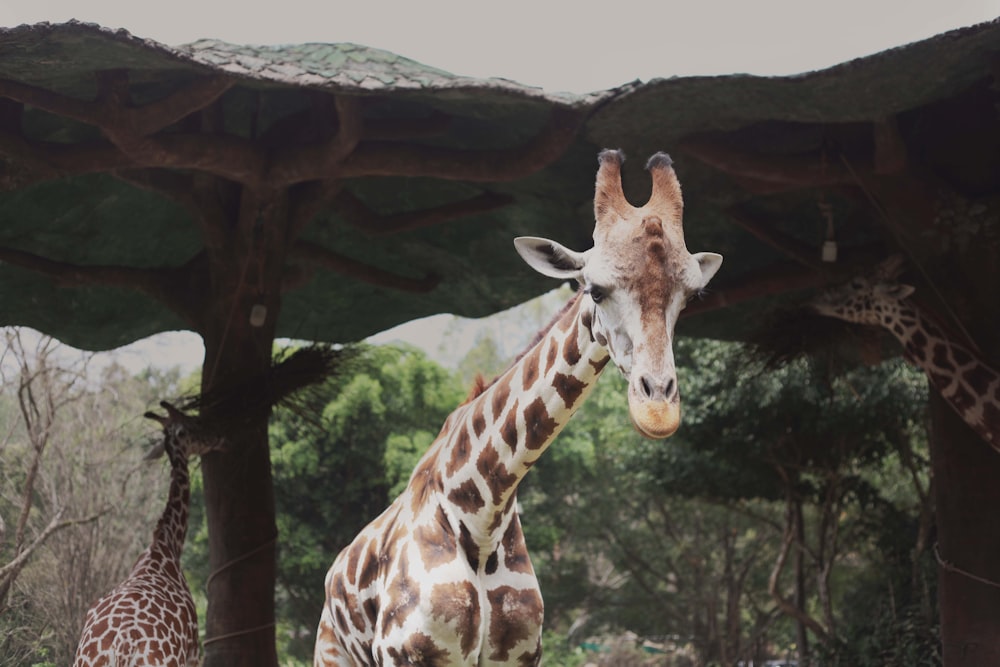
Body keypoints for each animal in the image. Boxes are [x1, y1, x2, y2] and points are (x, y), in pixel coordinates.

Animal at [72, 402, 225, 667]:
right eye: (195, 423)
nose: (218, 436)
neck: (167, 543)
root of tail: (123, 646)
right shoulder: (194, 653)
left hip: (81, 660)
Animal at [312, 149, 720, 664]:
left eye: (690, 296)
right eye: (595, 289)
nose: (658, 410)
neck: (483, 513)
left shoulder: (520, 655)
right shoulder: (409, 653)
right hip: (331, 653)